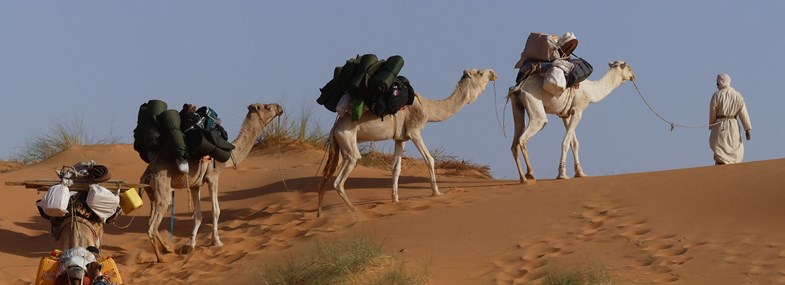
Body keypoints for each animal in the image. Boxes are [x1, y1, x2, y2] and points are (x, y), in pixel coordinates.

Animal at [140, 102, 282, 262]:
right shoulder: (213, 177)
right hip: (162, 188)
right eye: (268, 107)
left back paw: (168, 249)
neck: (229, 156)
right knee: (152, 226)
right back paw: (160, 258)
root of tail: (148, 174)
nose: (280, 107)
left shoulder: (195, 184)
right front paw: (217, 241)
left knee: (151, 221)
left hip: (152, 193)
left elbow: (197, 214)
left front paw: (190, 245)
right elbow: (216, 210)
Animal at [316, 67, 496, 216]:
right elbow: (429, 159)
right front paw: (437, 193)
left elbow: (396, 168)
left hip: (338, 145)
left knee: (327, 176)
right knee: (341, 177)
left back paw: (320, 214)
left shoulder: (400, 138)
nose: (493, 73)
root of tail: (334, 129)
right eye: (480, 73)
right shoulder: (414, 131)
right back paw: (353, 210)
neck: (428, 108)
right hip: (347, 139)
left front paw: (395, 199)